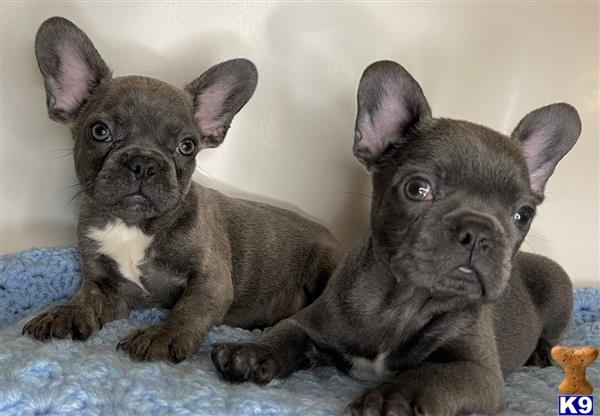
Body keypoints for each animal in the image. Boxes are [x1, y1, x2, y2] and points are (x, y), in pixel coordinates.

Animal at [23, 16, 342, 362]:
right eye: (99, 131)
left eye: (187, 146)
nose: (144, 163)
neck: (133, 225)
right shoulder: (104, 284)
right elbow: (86, 297)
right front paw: (65, 312)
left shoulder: (212, 280)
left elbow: (189, 310)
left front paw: (162, 335)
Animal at [212, 60, 580, 414]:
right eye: (418, 188)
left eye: (523, 215)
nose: (478, 232)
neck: (401, 303)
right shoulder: (312, 322)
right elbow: (285, 333)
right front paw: (250, 351)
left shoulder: (478, 371)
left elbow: (435, 374)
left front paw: (392, 396)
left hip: (558, 287)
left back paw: (540, 353)